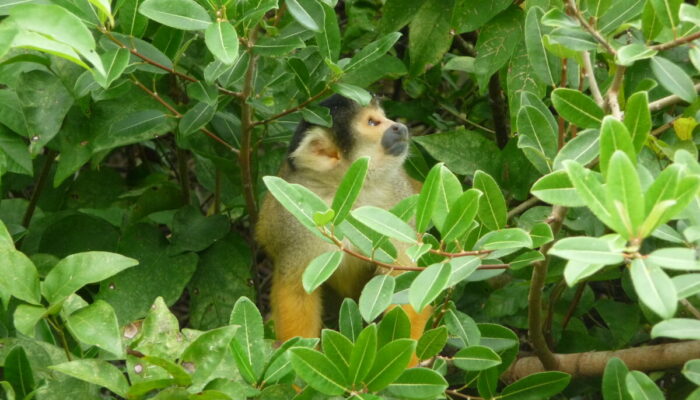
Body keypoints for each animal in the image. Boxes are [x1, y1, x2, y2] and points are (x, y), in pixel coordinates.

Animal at [258, 94, 432, 344]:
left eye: (382, 117)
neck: (348, 193)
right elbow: (296, 290)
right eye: (372, 123)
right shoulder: (294, 221)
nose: (399, 127)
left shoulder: (396, 201)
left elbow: (405, 281)